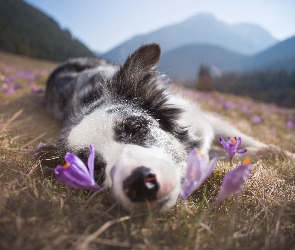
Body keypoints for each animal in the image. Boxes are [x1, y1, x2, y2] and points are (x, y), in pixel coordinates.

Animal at [37, 44, 294, 212]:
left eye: (136, 127)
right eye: (93, 167)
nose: (139, 184)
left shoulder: (202, 119)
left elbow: (242, 140)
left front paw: (282, 153)